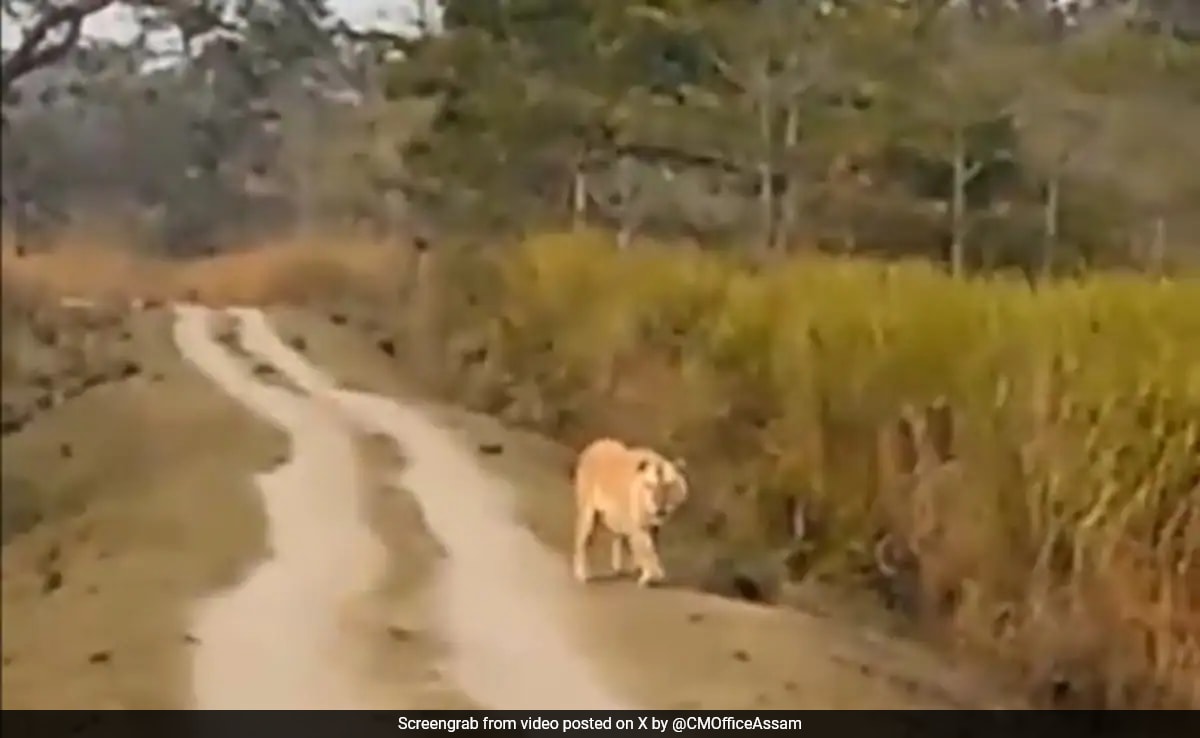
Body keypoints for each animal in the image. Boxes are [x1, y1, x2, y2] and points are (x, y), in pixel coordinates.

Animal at [573, 439, 691, 588]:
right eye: (650, 485)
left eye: (668, 485)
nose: (660, 509)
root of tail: (595, 444)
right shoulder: (637, 527)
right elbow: (647, 551)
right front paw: (652, 575)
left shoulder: (653, 528)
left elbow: (650, 549)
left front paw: (641, 570)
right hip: (588, 512)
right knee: (581, 541)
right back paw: (581, 574)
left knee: (616, 538)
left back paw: (618, 567)